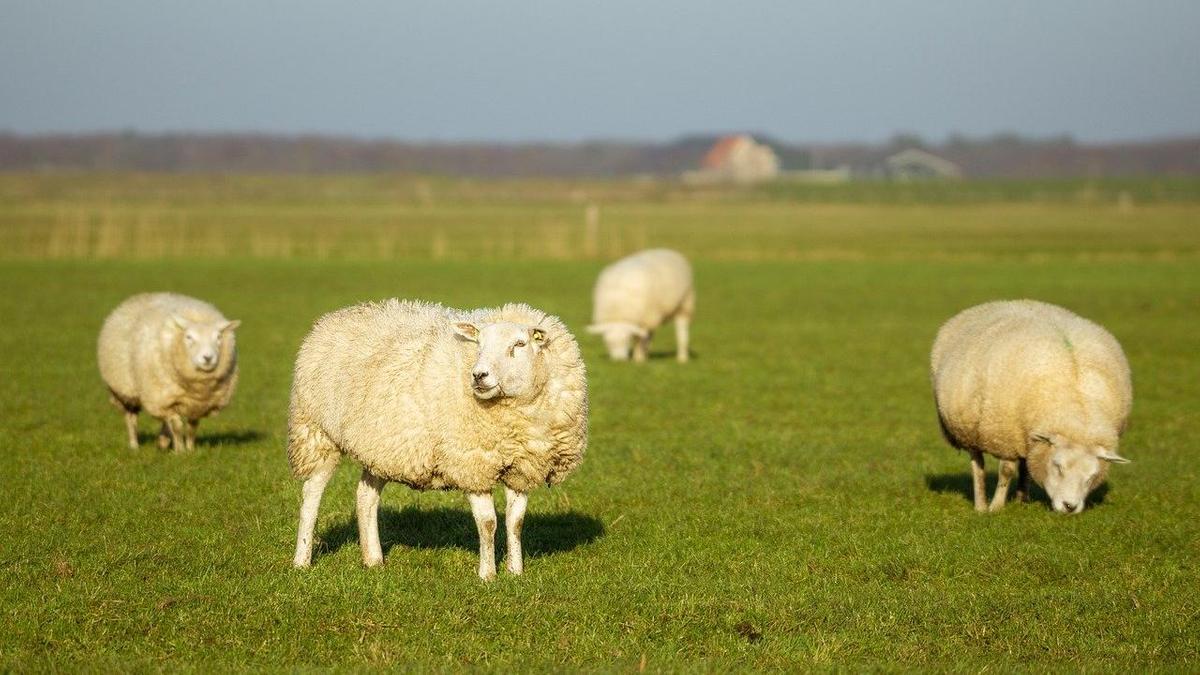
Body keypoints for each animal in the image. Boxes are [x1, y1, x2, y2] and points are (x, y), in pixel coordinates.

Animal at [98, 291, 241, 449]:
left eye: (219, 337)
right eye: (189, 337)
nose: (208, 357)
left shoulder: (196, 404)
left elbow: (192, 427)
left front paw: (190, 449)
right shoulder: (164, 399)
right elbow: (177, 426)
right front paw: (180, 450)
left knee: (163, 420)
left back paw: (163, 440)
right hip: (126, 391)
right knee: (131, 418)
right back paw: (135, 445)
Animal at [290, 299, 590, 578]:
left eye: (519, 343)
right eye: (479, 344)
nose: (479, 375)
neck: (515, 419)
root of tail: (333, 317)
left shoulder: (523, 467)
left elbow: (515, 522)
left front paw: (515, 572)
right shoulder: (472, 464)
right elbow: (488, 523)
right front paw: (488, 575)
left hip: (384, 446)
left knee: (366, 495)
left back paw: (373, 559)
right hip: (316, 431)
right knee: (311, 495)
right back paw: (302, 560)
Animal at [926, 296, 1132, 511]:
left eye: (1092, 477)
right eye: (1058, 466)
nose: (1070, 506)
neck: (1076, 411)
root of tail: (1007, 301)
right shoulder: (1005, 437)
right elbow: (1006, 471)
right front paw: (996, 508)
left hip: (1025, 435)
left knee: (1025, 464)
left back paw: (1021, 499)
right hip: (971, 430)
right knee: (978, 464)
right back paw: (981, 505)